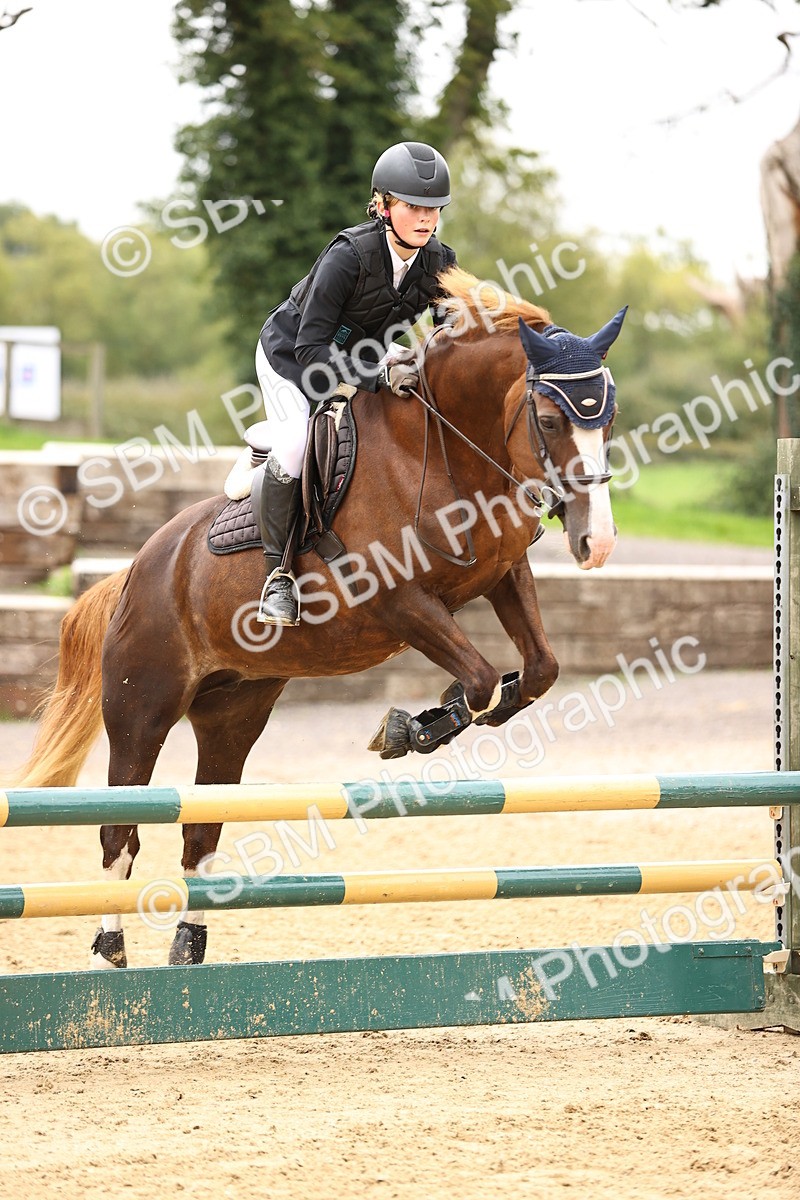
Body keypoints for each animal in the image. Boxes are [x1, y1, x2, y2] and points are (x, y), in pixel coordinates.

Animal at [9, 267, 626, 969]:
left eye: (609, 419)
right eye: (549, 419)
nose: (598, 543)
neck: (444, 448)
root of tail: (135, 572)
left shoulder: (500, 574)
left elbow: (537, 670)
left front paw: (440, 716)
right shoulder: (398, 600)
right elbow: (478, 678)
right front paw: (406, 729)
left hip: (233, 714)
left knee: (200, 832)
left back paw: (188, 949)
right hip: (142, 710)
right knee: (121, 832)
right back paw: (107, 952)